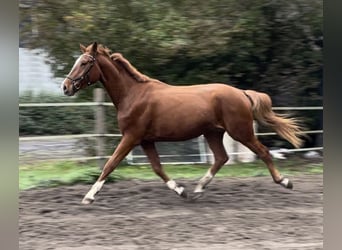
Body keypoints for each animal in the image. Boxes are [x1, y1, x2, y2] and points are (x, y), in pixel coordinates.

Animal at [60, 42, 302, 204]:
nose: (65, 87)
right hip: (213, 133)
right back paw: (197, 190)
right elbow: (157, 168)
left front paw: (89, 196)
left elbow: (110, 165)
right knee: (221, 158)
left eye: (84, 63)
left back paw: (285, 181)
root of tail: (242, 93)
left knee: (263, 152)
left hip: (240, 132)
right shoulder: (146, 141)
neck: (133, 95)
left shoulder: (131, 137)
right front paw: (181, 190)